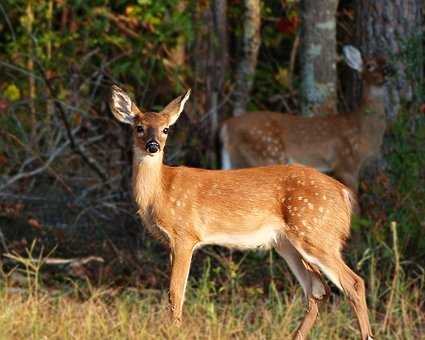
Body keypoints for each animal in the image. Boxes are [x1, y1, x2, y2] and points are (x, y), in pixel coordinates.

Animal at [111, 83, 372, 340]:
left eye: (166, 129)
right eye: (139, 128)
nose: (153, 146)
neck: (160, 192)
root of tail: (343, 192)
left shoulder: (185, 235)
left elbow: (175, 295)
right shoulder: (172, 242)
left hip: (315, 233)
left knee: (353, 283)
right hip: (287, 242)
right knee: (317, 290)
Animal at [220, 45, 392, 194]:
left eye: (386, 63)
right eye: (369, 65)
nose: (387, 72)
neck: (362, 129)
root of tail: (226, 126)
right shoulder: (346, 162)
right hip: (267, 152)